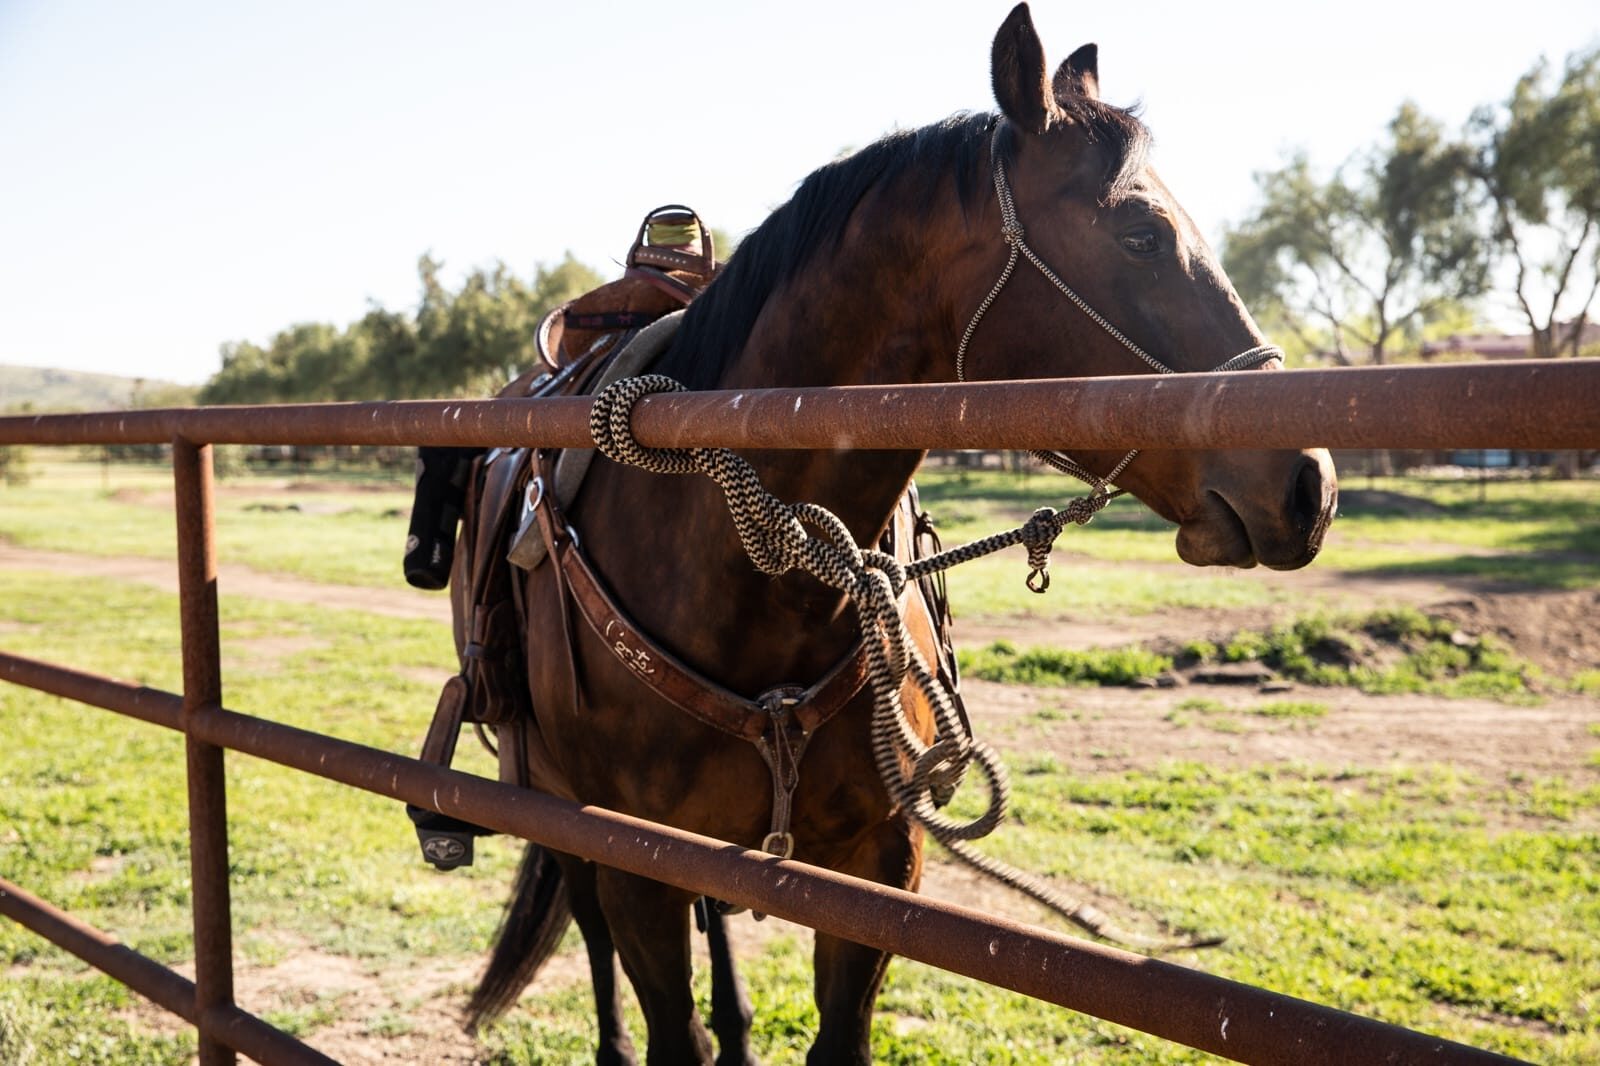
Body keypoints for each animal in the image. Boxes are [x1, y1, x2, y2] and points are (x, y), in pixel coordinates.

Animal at [461, 5, 1337, 1063]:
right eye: (1139, 231)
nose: (1310, 482)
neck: (756, 592)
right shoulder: (634, 864)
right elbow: (669, 1020)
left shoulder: (881, 866)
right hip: (562, 808)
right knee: (587, 922)